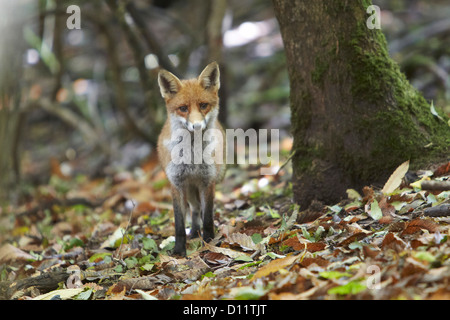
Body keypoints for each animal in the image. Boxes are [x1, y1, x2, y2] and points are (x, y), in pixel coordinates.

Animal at [157, 62, 225, 258]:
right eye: (183, 108)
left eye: (203, 105)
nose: (196, 126)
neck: (192, 157)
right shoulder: (176, 184)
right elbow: (179, 224)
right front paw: (179, 251)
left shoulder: (207, 181)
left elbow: (208, 217)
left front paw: (209, 242)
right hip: (189, 188)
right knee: (194, 209)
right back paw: (194, 232)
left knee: (199, 210)